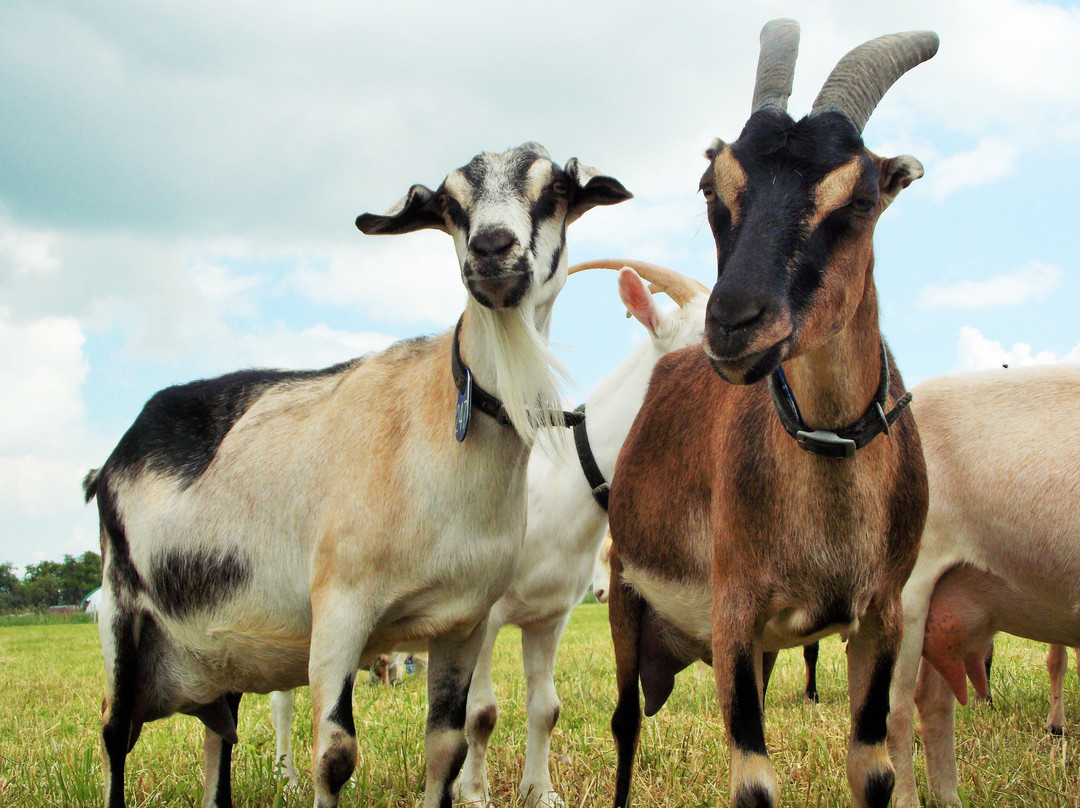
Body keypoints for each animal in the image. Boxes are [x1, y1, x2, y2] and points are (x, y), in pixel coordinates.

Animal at [83, 142, 631, 808]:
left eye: (555, 190)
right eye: (451, 205)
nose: (492, 248)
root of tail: (117, 455)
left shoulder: (463, 623)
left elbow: (446, 749)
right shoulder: (340, 610)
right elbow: (336, 756)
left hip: (220, 650)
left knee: (218, 734)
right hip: (122, 617)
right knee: (115, 732)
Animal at [606, 20, 935, 808]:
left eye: (862, 199)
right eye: (713, 185)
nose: (733, 321)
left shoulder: (881, 614)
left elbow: (874, 767)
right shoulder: (734, 611)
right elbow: (754, 782)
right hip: (625, 593)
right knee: (625, 724)